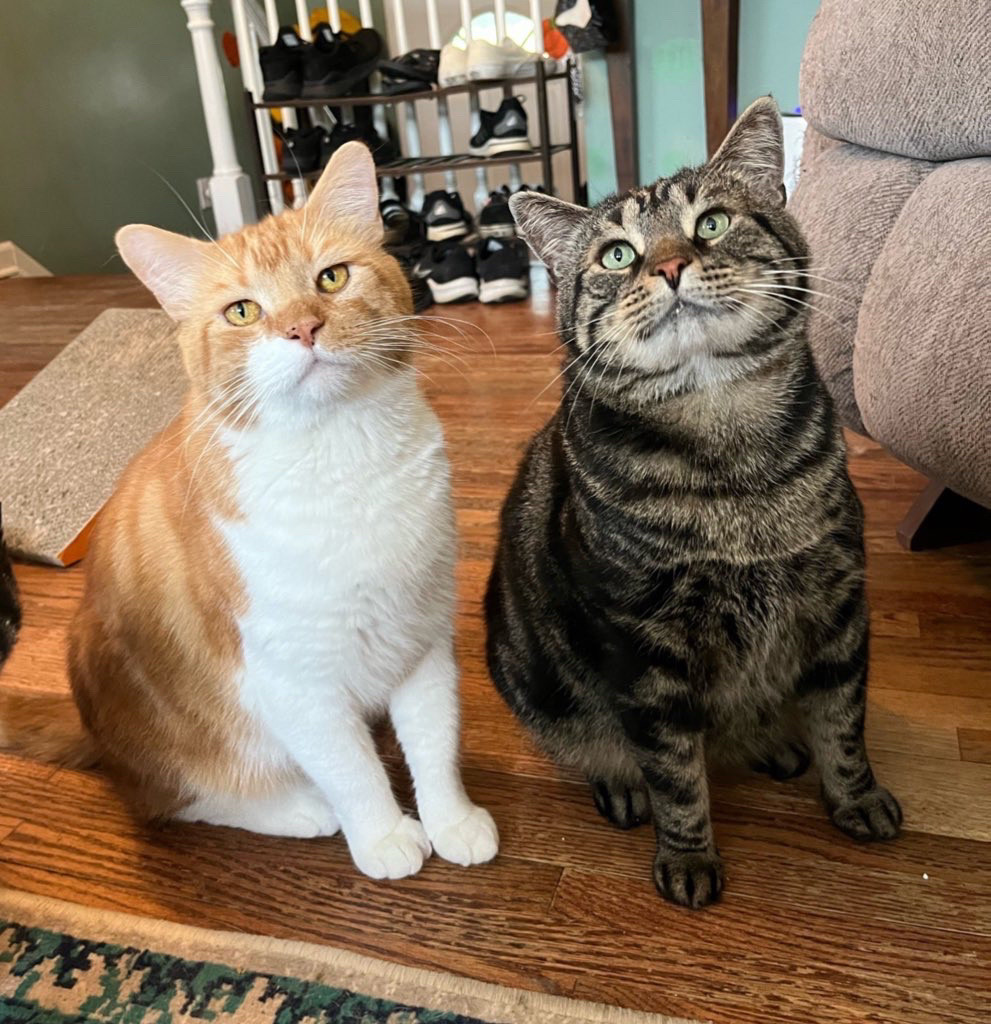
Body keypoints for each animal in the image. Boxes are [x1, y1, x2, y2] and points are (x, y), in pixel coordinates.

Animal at [0, 144, 495, 880]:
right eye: (241, 312)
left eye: (331, 277)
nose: (302, 327)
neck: (342, 462)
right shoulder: (293, 681)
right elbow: (351, 770)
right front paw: (381, 835)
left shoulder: (421, 638)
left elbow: (435, 740)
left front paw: (450, 818)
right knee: (178, 799)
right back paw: (296, 809)